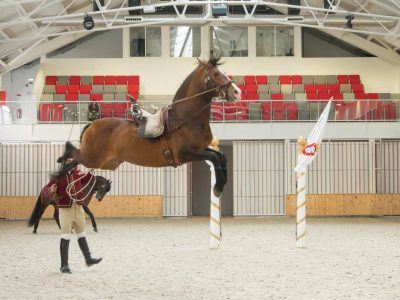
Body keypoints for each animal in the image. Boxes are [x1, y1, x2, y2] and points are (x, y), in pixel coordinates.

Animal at [53, 56, 241, 197]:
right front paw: (218, 187)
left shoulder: (201, 149)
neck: (187, 119)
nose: (237, 92)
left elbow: (221, 156)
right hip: (92, 157)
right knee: (72, 152)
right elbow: (215, 158)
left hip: (105, 162)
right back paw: (60, 165)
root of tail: (92, 124)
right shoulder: (186, 154)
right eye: (216, 73)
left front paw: (221, 183)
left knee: (75, 159)